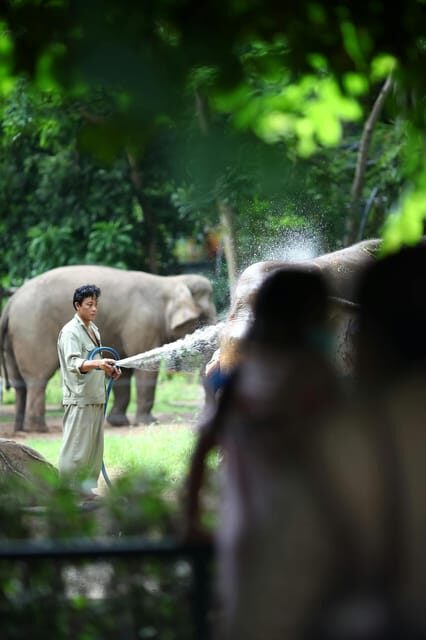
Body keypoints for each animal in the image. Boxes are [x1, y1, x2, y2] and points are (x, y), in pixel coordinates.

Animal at [0, 266, 216, 432]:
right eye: (203, 319)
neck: (171, 281)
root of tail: (10, 302)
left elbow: (125, 373)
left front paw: (119, 422)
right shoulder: (142, 323)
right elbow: (145, 375)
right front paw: (149, 423)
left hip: (15, 338)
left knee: (19, 383)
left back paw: (20, 428)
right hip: (32, 331)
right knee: (37, 378)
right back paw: (38, 429)